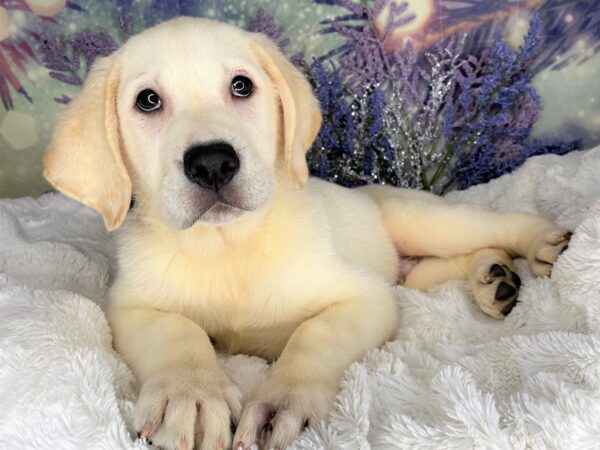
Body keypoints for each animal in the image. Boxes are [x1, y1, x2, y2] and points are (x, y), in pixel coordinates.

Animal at [43, 16, 572, 450]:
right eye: (147, 101)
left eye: (242, 86)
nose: (212, 162)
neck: (229, 244)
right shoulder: (128, 305)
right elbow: (176, 330)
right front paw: (189, 394)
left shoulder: (367, 298)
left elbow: (313, 335)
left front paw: (283, 402)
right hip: (415, 277)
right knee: (452, 263)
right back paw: (493, 278)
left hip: (422, 221)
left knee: (490, 226)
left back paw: (542, 243)